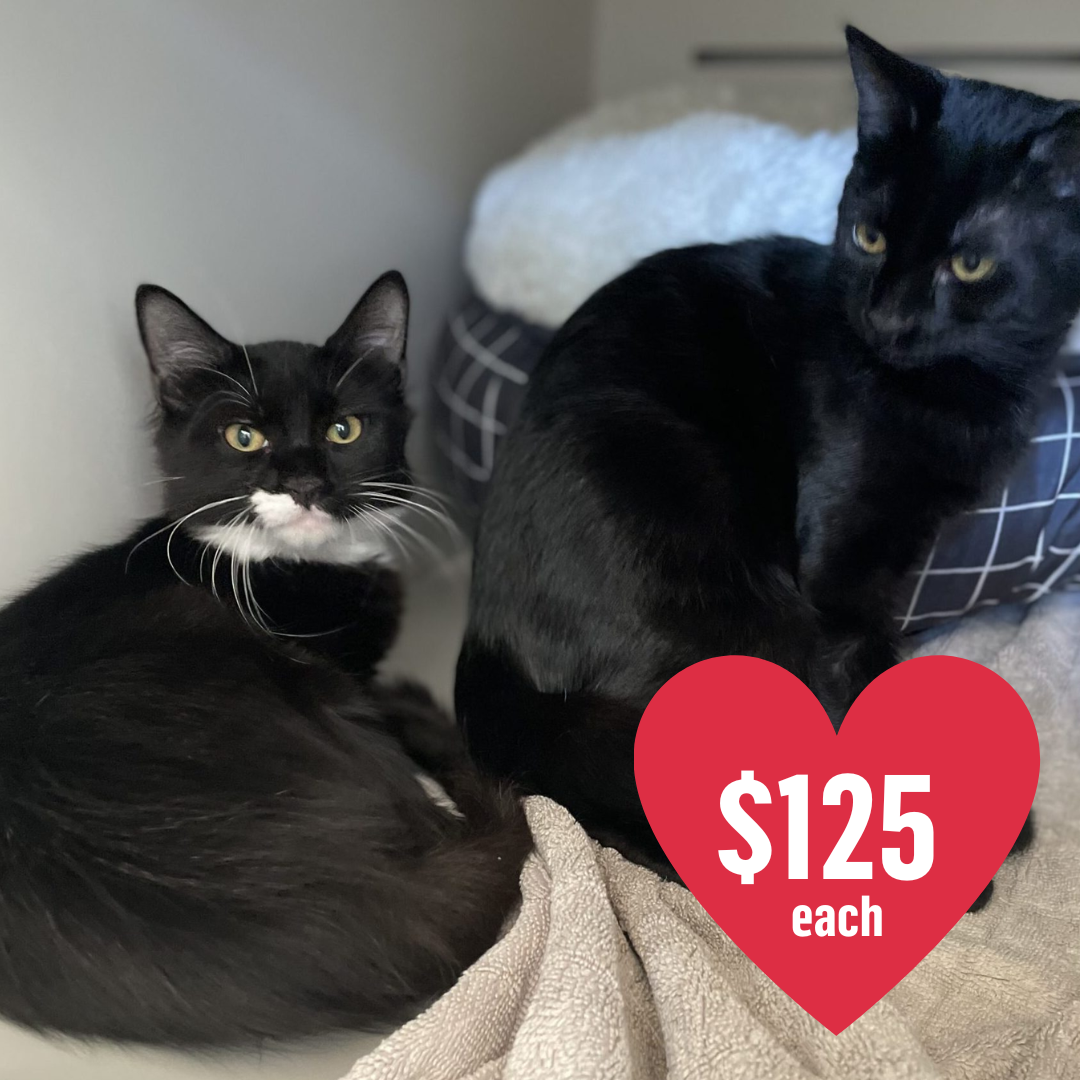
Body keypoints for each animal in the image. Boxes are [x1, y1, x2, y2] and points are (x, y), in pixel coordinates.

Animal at [455, 28, 1071, 900]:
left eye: (971, 265)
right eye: (870, 237)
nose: (885, 316)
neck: (957, 391)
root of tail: (484, 634)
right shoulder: (838, 579)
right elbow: (863, 675)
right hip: (732, 585)